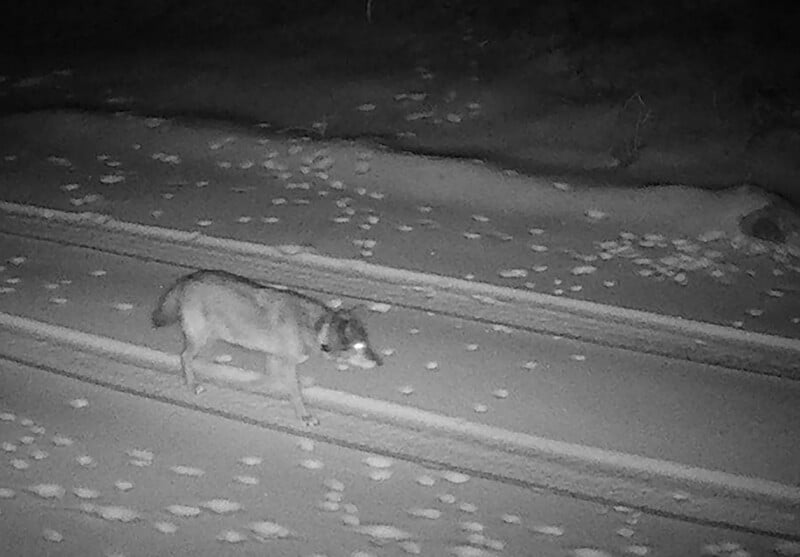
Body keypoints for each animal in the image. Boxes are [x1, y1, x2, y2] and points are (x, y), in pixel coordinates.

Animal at [152, 270, 383, 426]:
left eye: (367, 343)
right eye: (359, 346)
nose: (380, 363)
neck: (315, 329)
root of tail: (188, 278)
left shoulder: (274, 358)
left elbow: (271, 379)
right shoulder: (286, 363)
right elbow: (295, 392)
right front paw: (304, 416)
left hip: (211, 339)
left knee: (197, 359)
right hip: (200, 338)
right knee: (184, 357)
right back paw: (193, 385)